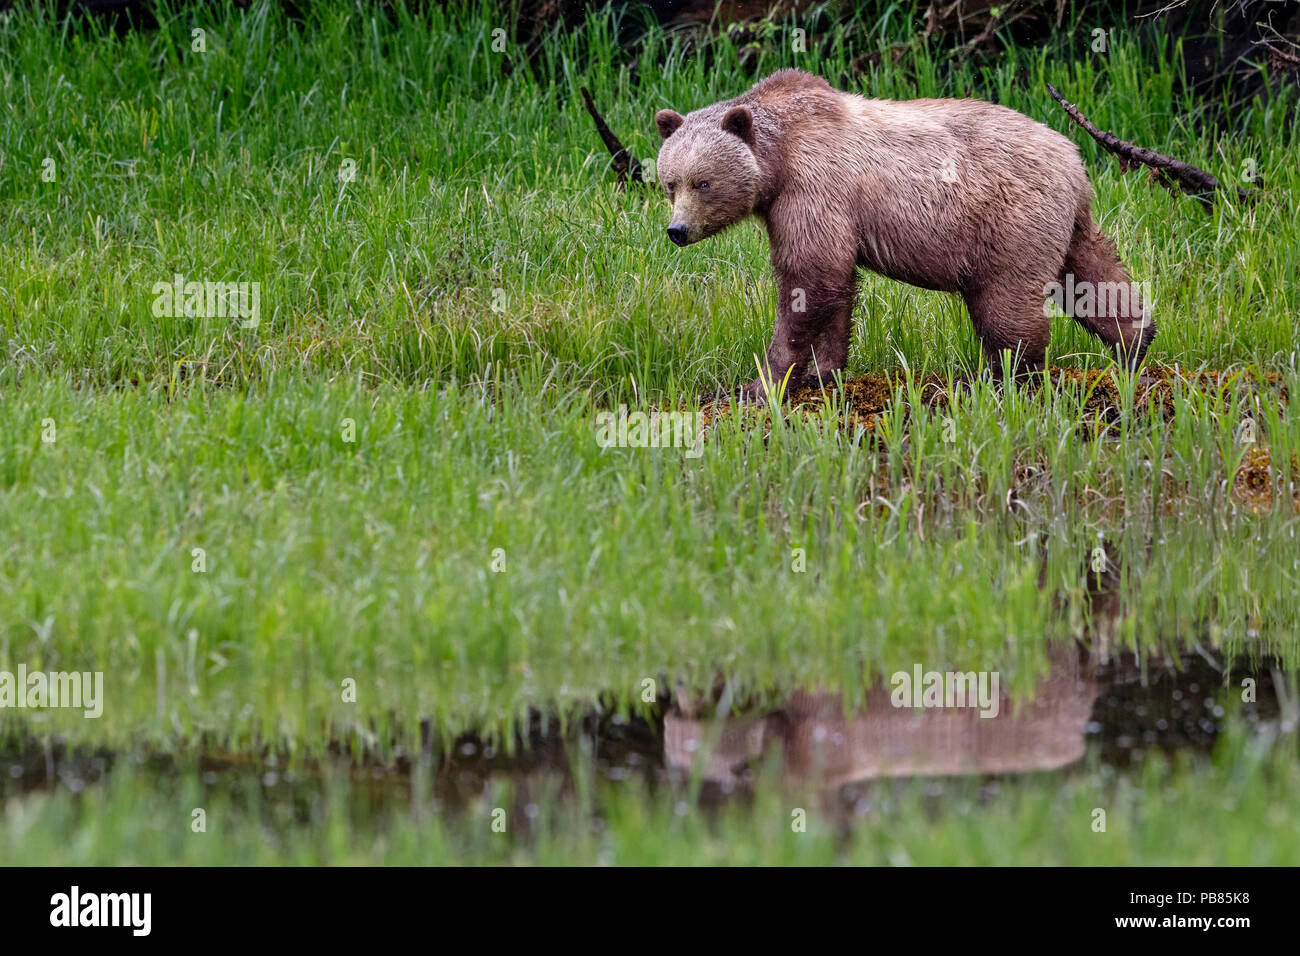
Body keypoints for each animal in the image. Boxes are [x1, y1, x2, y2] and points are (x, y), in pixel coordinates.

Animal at [655, 67, 1154, 395]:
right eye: (670, 182)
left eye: (703, 182)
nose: (677, 230)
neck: (777, 160)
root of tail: (1074, 158)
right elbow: (833, 285)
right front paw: (823, 372)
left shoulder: (813, 188)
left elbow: (809, 279)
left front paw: (764, 382)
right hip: (1067, 223)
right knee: (1094, 274)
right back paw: (1136, 340)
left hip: (1009, 222)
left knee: (1006, 303)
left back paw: (1001, 376)